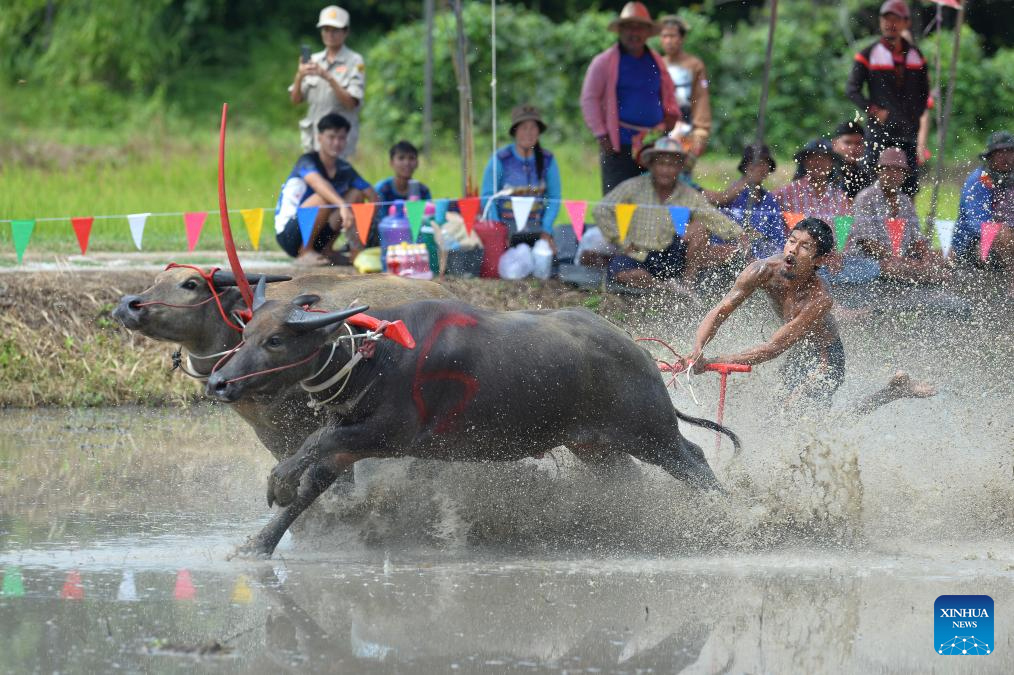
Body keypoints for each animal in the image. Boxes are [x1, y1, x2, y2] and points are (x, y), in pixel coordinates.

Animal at [110, 263, 452, 551]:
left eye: (190, 283)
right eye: (156, 280)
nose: (128, 304)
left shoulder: (329, 426)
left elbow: (327, 480)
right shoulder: (273, 434)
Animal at [205, 285, 742, 555]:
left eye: (276, 340)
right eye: (246, 332)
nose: (219, 382)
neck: (375, 356)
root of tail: (638, 353)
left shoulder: (392, 433)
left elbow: (311, 444)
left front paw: (277, 480)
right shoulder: (351, 440)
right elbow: (311, 484)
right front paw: (257, 545)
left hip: (651, 433)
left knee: (694, 459)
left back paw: (737, 518)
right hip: (596, 448)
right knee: (630, 478)